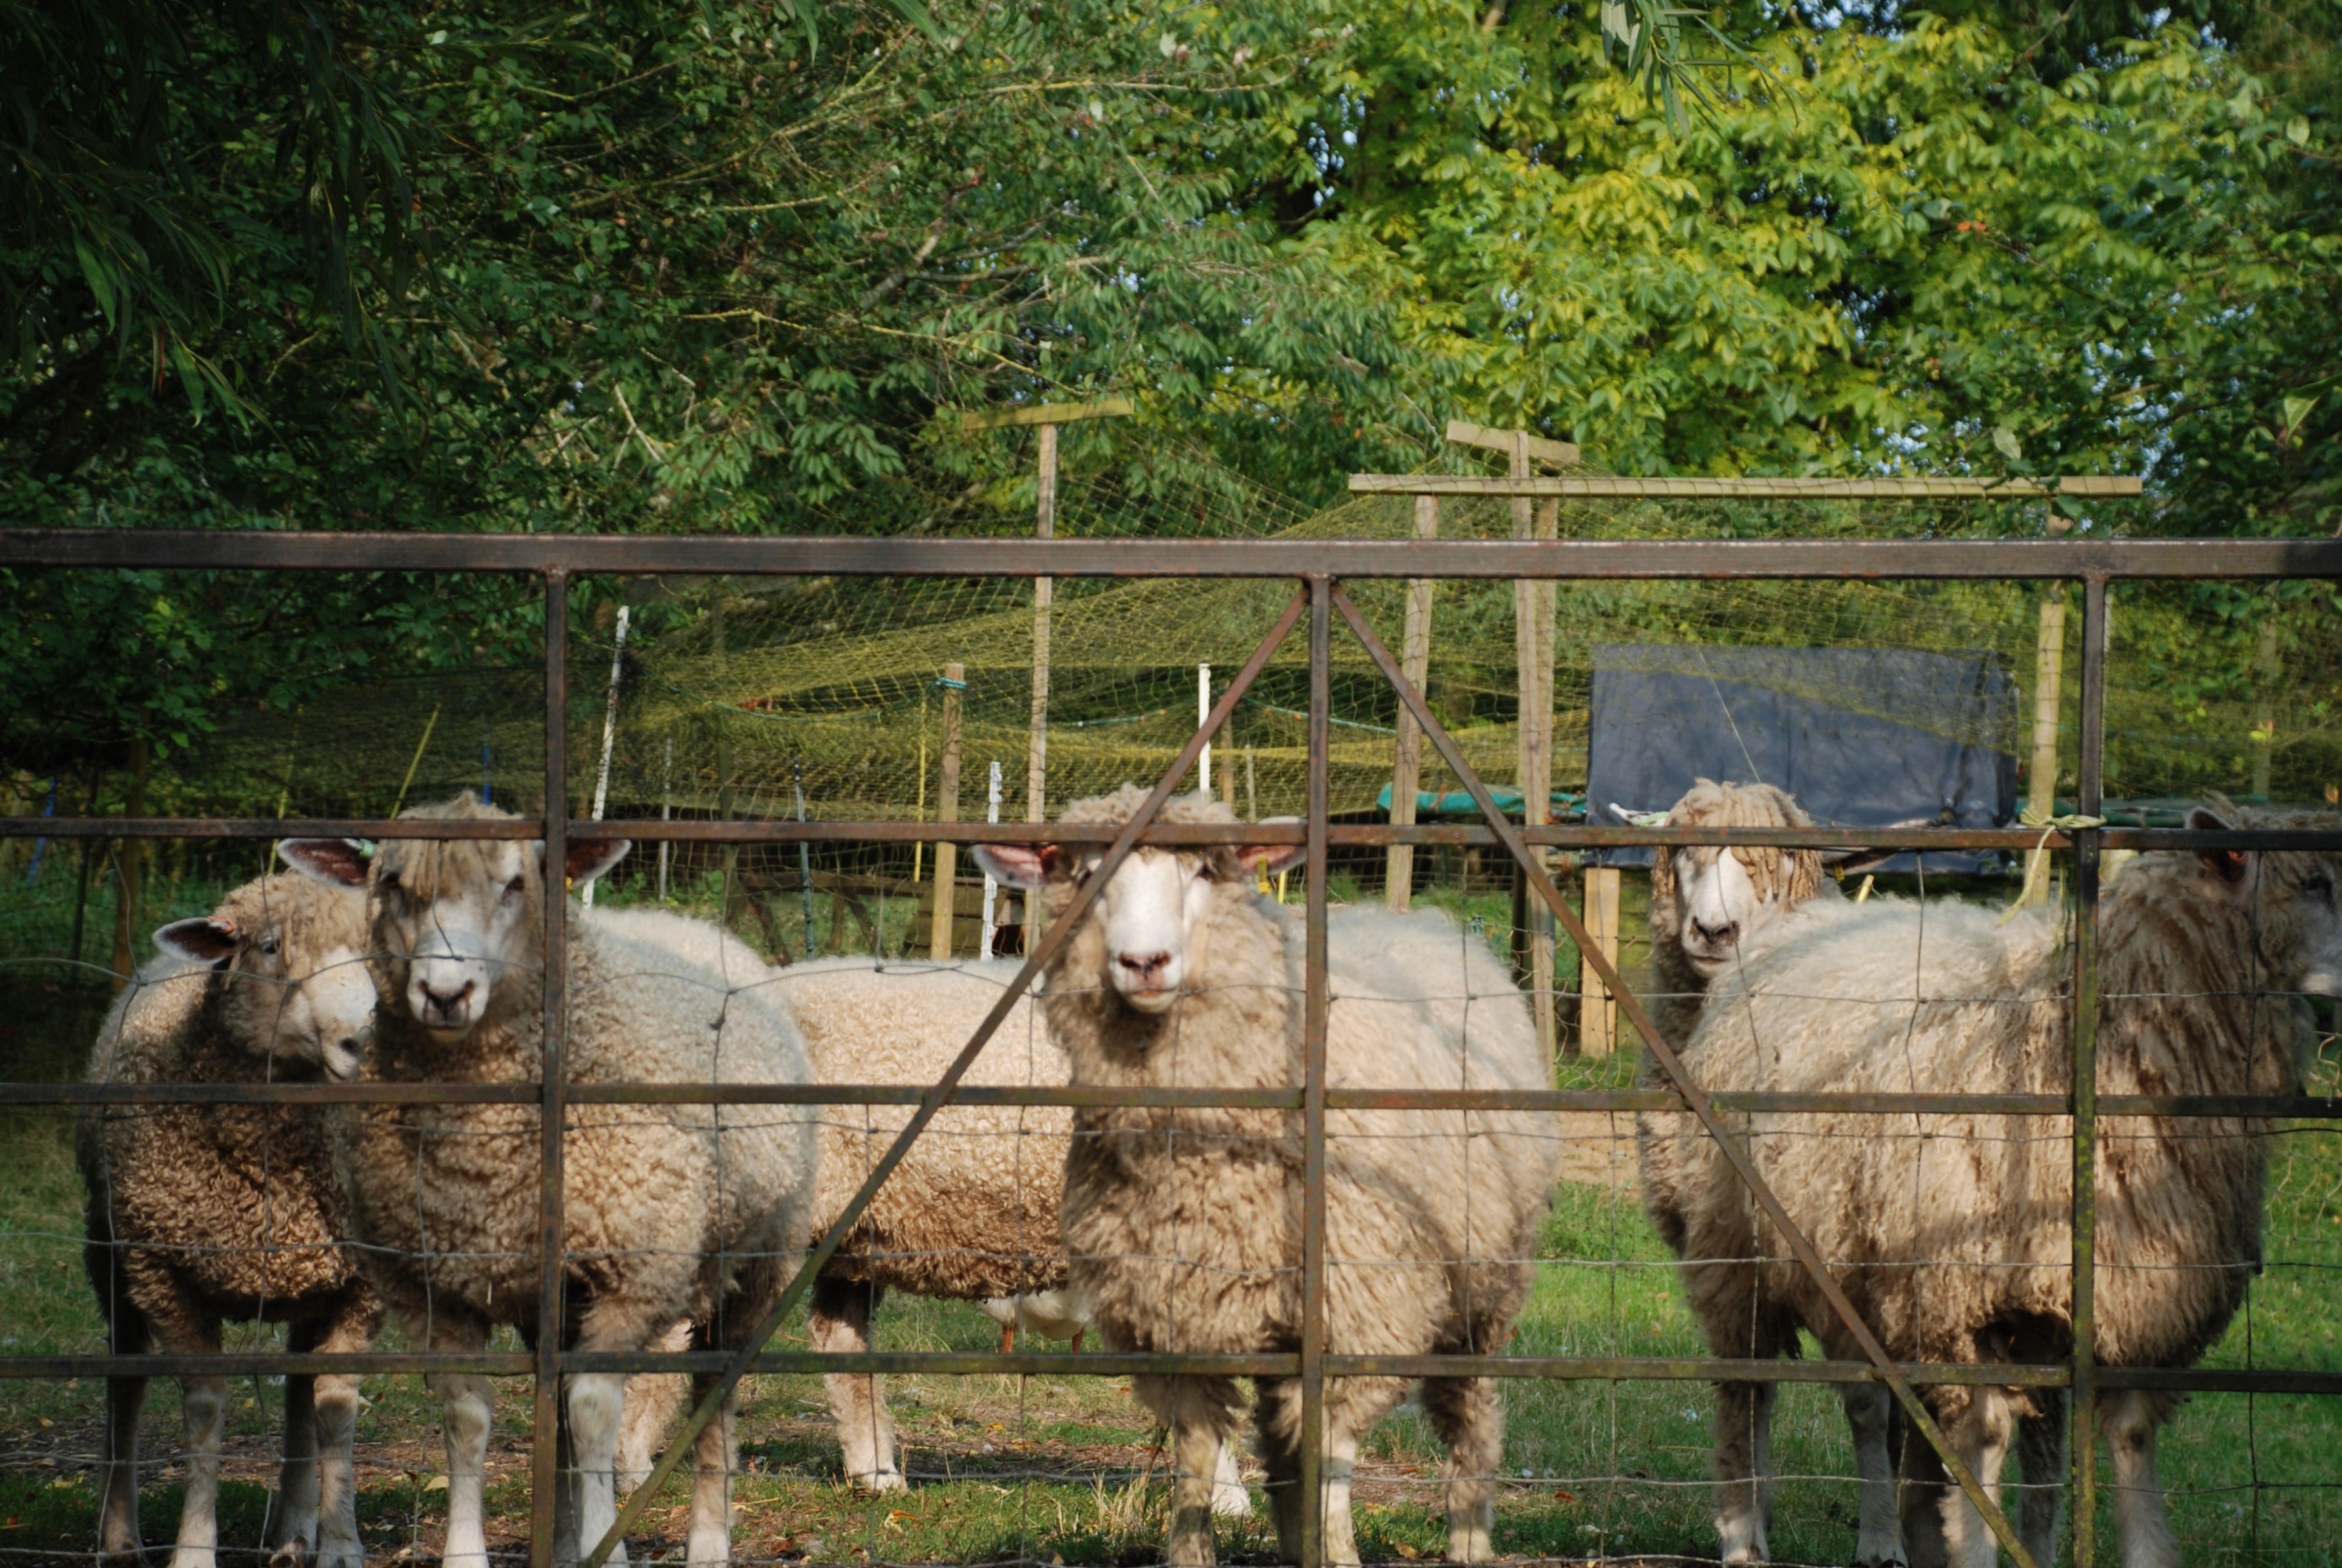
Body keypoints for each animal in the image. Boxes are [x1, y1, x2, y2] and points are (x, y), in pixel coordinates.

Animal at [78, 871, 383, 1568]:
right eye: (270, 947)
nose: (361, 1041)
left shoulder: (358, 1285)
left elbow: (334, 1406)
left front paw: (340, 1542)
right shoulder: (163, 1273)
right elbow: (205, 1410)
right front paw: (193, 1547)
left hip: (307, 1282)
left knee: (299, 1390)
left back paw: (295, 1531)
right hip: (108, 1251)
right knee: (124, 1386)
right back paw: (119, 1534)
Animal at [279, 795, 820, 1568]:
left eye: (515, 885)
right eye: (391, 885)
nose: (445, 993)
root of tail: (685, 923)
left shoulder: (634, 1276)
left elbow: (593, 1413)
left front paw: (604, 1545)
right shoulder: (437, 1285)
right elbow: (468, 1416)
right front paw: (471, 1552)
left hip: (757, 1256)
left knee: (713, 1390)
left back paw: (708, 1540)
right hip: (558, 1291)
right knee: (557, 1393)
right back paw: (564, 1536)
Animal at [583, 912, 1251, 1513]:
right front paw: (1227, 1498)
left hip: (851, 1231)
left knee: (839, 1341)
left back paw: (875, 1474)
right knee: (672, 1334)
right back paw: (630, 1469)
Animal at [975, 786, 1560, 1568]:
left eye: (1204, 872)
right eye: (1086, 873)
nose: (1144, 961)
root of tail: (1411, 920)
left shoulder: (1354, 1313)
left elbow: (1333, 1458)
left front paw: (1337, 1553)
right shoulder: (1177, 1318)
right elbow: (1198, 1458)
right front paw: (1191, 1552)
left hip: (1482, 1291)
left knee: (1468, 1416)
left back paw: (1469, 1539)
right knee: (1285, 1442)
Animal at [1640, 804, 2342, 1568]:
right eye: (2314, 881)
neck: (2087, 1037)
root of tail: (1791, 929)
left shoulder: (2129, 1293)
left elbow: (2112, 1436)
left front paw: (2113, 1547)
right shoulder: (1962, 1296)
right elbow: (1986, 1437)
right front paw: (1975, 1543)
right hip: (1737, 1246)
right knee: (1750, 1388)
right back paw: (1746, 1529)